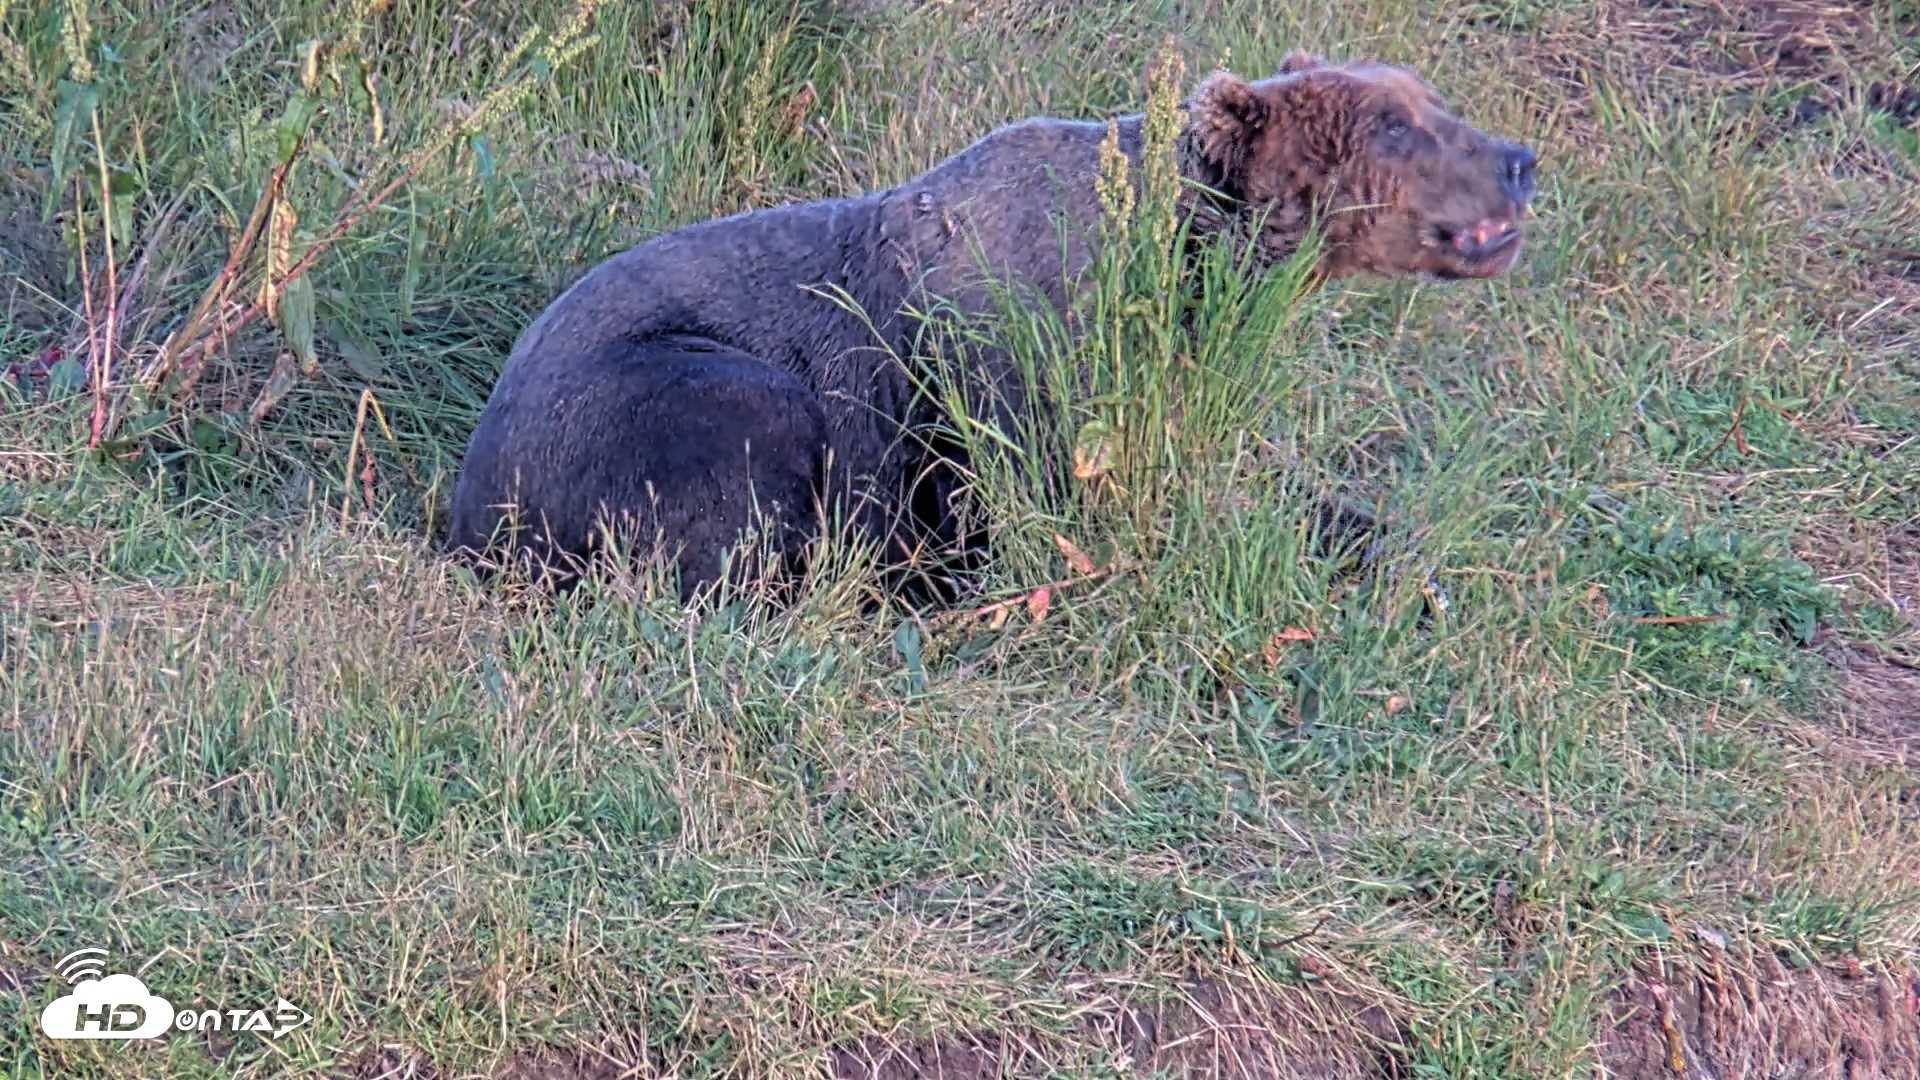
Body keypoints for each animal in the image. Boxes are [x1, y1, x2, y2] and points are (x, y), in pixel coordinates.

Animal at [445, 52, 1540, 603]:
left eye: (1433, 101)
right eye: (1395, 125)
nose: (1519, 158)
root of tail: (470, 508)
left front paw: (1405, 559)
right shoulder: (1000, 377)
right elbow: (1033, 504)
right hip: (654, 395)